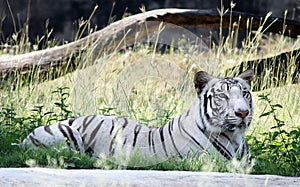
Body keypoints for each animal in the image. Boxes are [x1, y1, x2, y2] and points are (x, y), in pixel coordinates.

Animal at [20, 69, 253, 163]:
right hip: (68, 133)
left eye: (244, 93)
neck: (235, 139)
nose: (243, 112)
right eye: (223, 95)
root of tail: (23, 140)